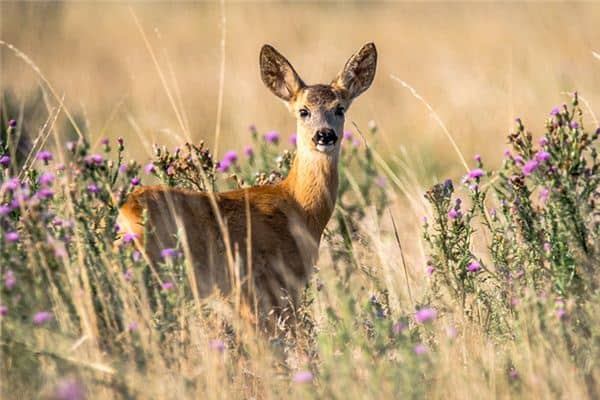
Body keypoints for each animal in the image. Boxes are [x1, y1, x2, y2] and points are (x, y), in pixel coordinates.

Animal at [118, 43, 376, 332]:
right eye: (303, 110)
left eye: (340, 108)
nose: (324, 135)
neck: (298, 207)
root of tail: (126, 213)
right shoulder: (269, 284)